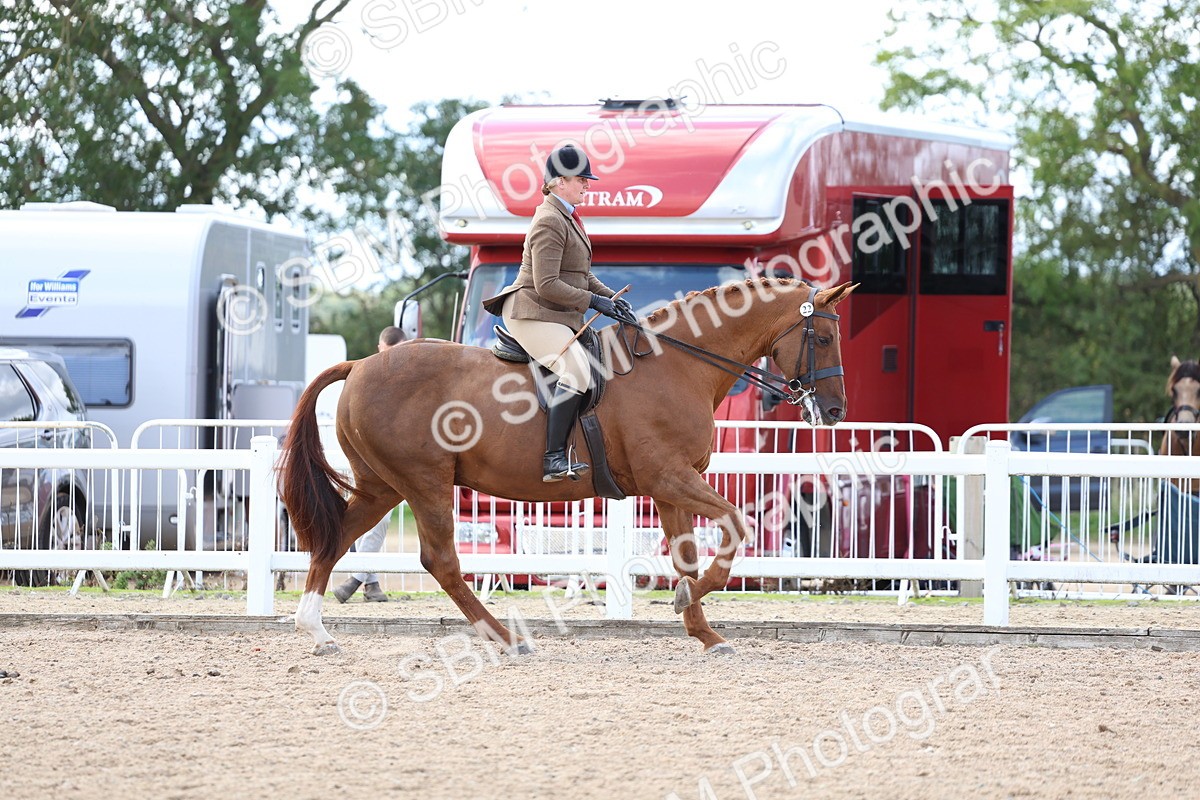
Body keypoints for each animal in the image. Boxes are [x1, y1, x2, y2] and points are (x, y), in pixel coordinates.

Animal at [280, 278, 857, 655]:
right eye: (823, 338)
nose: (834, 412)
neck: (677, 364)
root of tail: (360, 365)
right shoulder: (669, 477)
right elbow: (736, 526)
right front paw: (689, 601)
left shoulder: (670, 487)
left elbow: (687, 556)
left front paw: (704, 632)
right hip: (425, 483)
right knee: (439, 560)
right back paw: (506, 638)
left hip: (382, 487)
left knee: (334, 540)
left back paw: (316, 630)